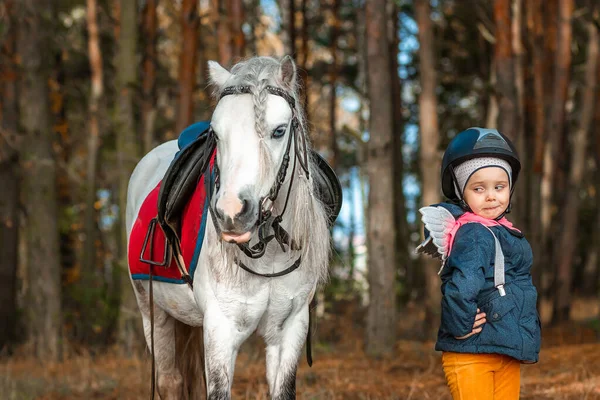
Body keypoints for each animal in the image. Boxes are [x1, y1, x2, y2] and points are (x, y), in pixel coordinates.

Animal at [125, 57, 336, 400]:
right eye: (216, 133)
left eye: (279, 131)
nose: (232, 213)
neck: (269, 254)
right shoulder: (221, 331)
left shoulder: (290, 328)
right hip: (153, 311)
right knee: (170, 381)